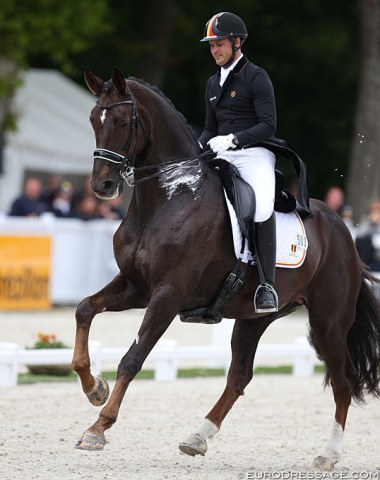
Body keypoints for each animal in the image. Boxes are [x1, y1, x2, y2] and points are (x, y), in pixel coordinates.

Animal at [72, 66, 380, 468]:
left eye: (123, 121)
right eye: (94, 119)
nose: (102, 185)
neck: (171, 195)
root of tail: (344, 231)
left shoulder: (168, 295)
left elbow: (132, 358)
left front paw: (98, 427)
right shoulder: (135, 287)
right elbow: (84, 309)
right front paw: (94, 387)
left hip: (328, 320)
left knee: (342, 381)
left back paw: (328, 455)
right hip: (254, 318)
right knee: (239, 377)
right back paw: (197, 437)